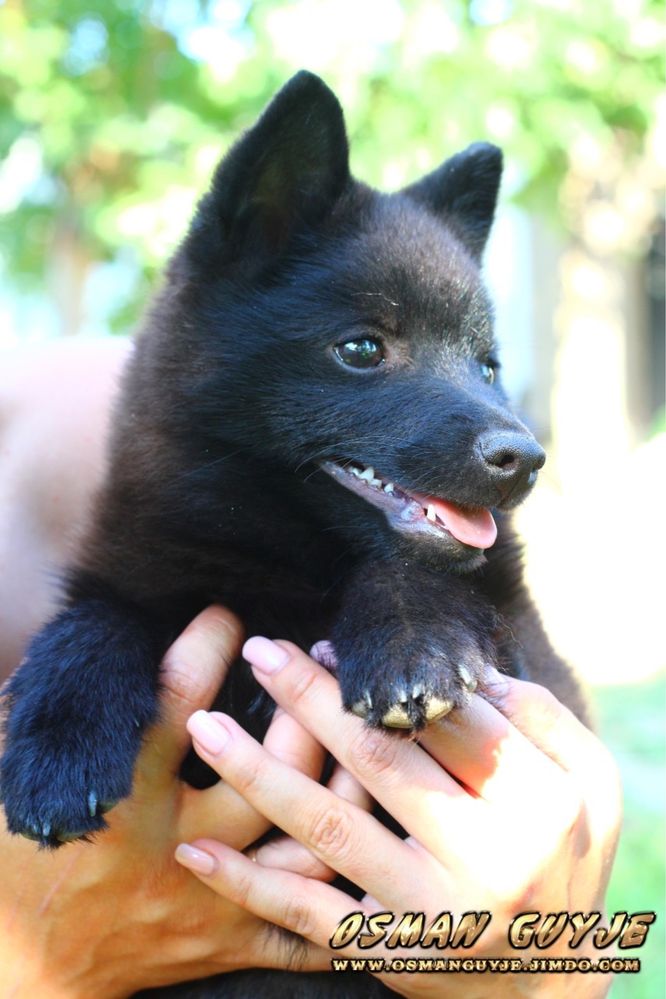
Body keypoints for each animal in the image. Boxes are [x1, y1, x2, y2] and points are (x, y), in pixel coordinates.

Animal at [0, 68, 584, 984]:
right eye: (362, 348)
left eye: (487, 364)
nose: (524, 457)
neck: (281, 567)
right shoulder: (145, 564)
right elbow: (94, 619)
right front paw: (57, 748)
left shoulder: (529, 653)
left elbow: (414, 570)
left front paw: (409, 644)